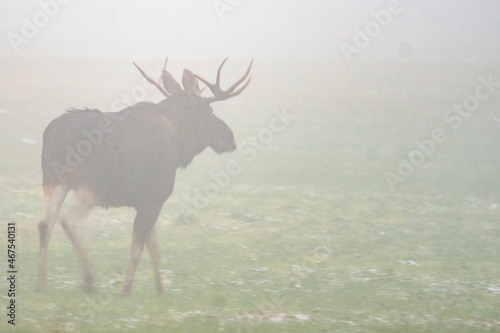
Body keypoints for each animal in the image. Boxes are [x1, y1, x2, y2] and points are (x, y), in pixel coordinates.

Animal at [38, 56, 254, 294]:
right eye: (209, 112)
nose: (230, 138)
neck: (179, 144)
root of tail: (53, 136)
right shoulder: (154, 197)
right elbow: (138, 247)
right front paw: (126, 290)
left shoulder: (147, 202)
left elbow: (153, 245)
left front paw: (160, 290)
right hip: (92, 186)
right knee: (68, 221)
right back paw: (89, 279)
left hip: (53, 180)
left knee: (44, 224)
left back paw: (42, 285)